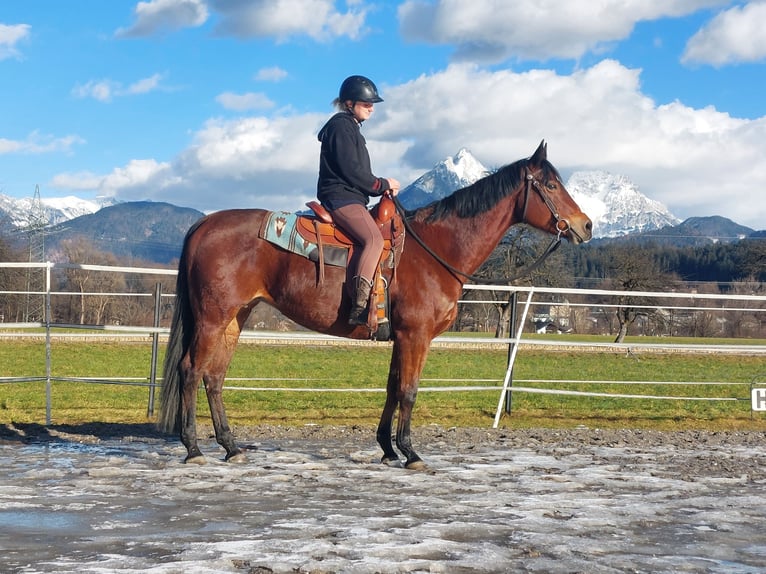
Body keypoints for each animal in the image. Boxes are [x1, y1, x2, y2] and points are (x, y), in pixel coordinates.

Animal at [158, 142, 592, 470]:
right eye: (550, 184)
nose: (585, 226)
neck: (434, 249)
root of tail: (204, 225)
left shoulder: (400, 336)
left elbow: (392, 388)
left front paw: (387, 448)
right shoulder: (416, 335)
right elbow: (410, 391)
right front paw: (411, 452)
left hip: (236, 317)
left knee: (214, 377)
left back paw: (231, 447)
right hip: (213, 318)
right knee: (191, 371)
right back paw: (193, 448)